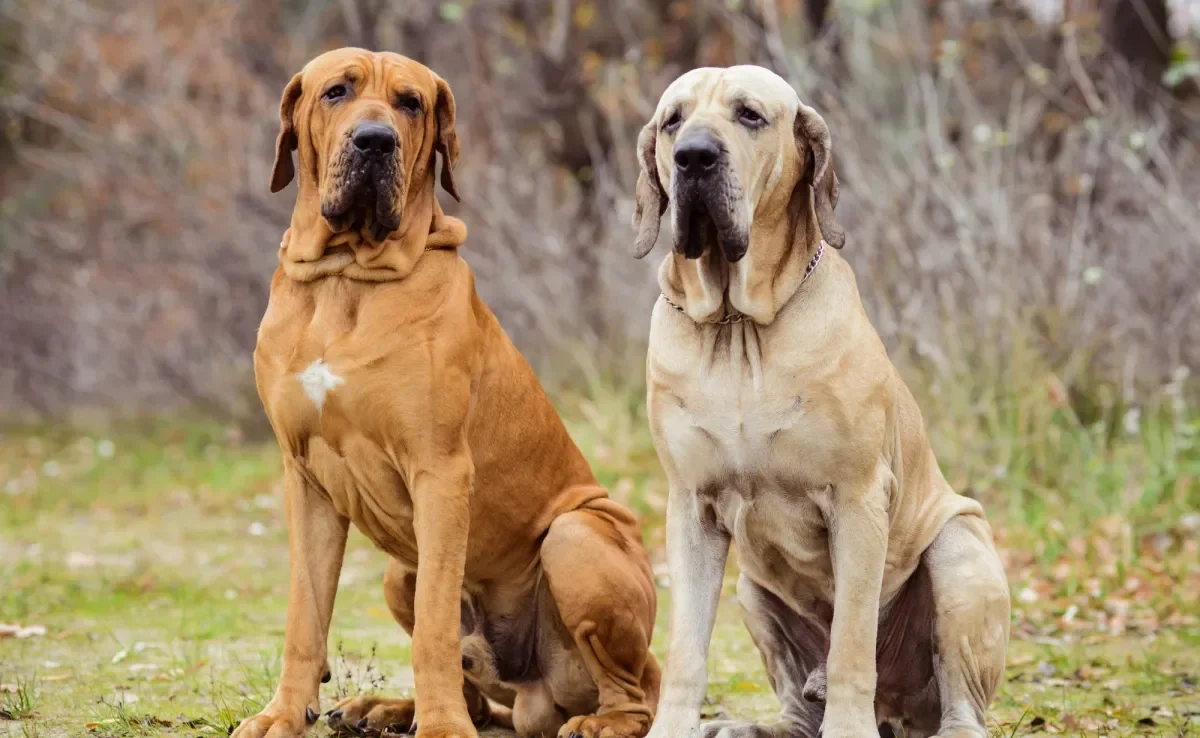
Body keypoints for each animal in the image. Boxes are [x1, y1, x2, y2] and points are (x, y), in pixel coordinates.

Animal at [229, 49, 662, 738]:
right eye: (336, 92)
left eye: (411, 103)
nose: (375, 140)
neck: (345, 277)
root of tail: (534, 696)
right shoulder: (307, 480)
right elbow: (305, 614)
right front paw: (282, 715)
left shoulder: (440, 473)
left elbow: (434, 627)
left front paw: (440, 726)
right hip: (395, 570)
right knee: (482, 697)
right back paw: (382, 709)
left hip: (576, 537)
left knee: (636, 690)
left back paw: (596, 722)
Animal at [633, 67, 1008, 738]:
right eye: (673, 120)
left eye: (750, 115)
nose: (693, 157)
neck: (738, 328)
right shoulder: (692, 509)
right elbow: (685, 652)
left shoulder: (858, 501)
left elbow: (852, 643)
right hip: (753, 590)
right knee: (794, 698)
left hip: (959, 549)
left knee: (959, 696)